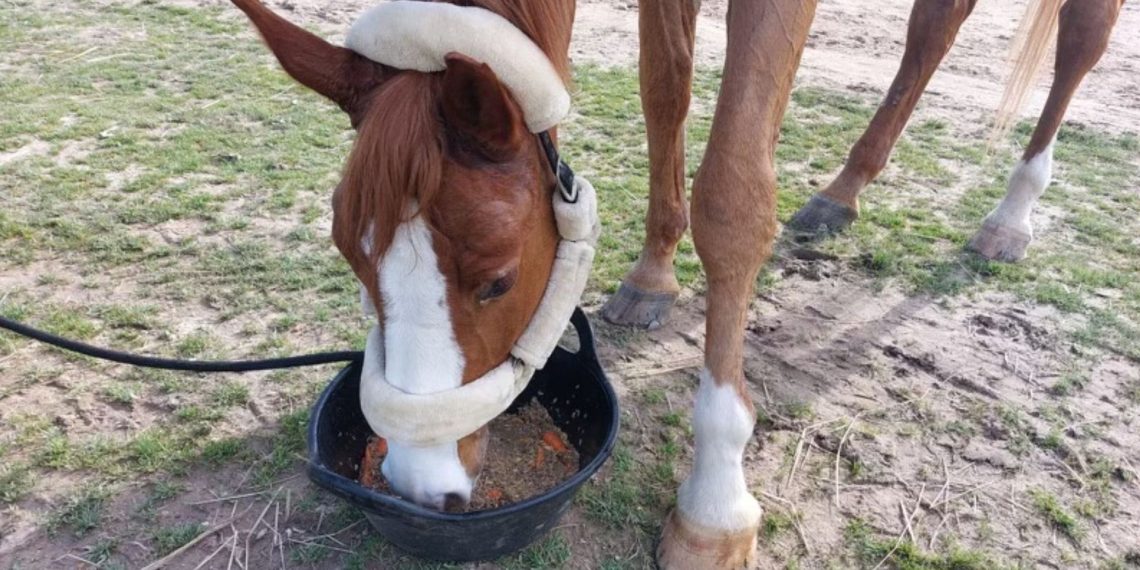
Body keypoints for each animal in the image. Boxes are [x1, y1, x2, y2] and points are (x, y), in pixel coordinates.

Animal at [230, 0, 1124, 567]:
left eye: (497, 281)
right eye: (355, 262)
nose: (419, 485)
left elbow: (731, 195)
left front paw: (715, 507)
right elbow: (665, 88)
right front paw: (654, 273)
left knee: (1084, 35)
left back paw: (1012, 213)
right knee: (936, 22)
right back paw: (844, 190)